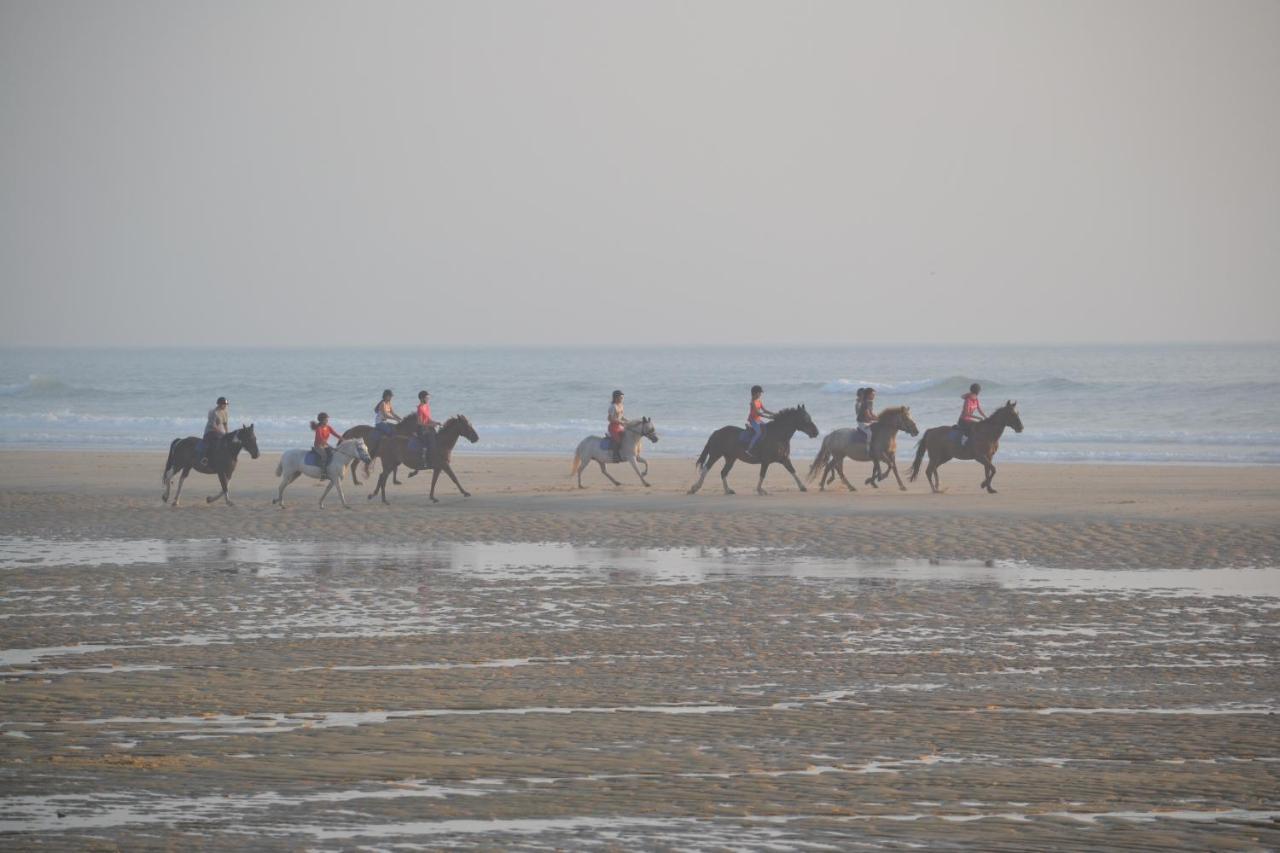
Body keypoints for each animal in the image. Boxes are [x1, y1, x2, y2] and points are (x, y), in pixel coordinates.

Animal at [691, 404, 819, 494]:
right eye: (805, 418)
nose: (816, 432)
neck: (778, 435)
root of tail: (717, 432)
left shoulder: (784, 459)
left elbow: (793, 471)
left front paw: (802, 487)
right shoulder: (766, 461)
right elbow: (762, 474)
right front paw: (760, 490)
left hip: (731, 458)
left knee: (723, 472)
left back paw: (728, 490)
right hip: (715, 455)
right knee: (706, 468)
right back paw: (695, 488)